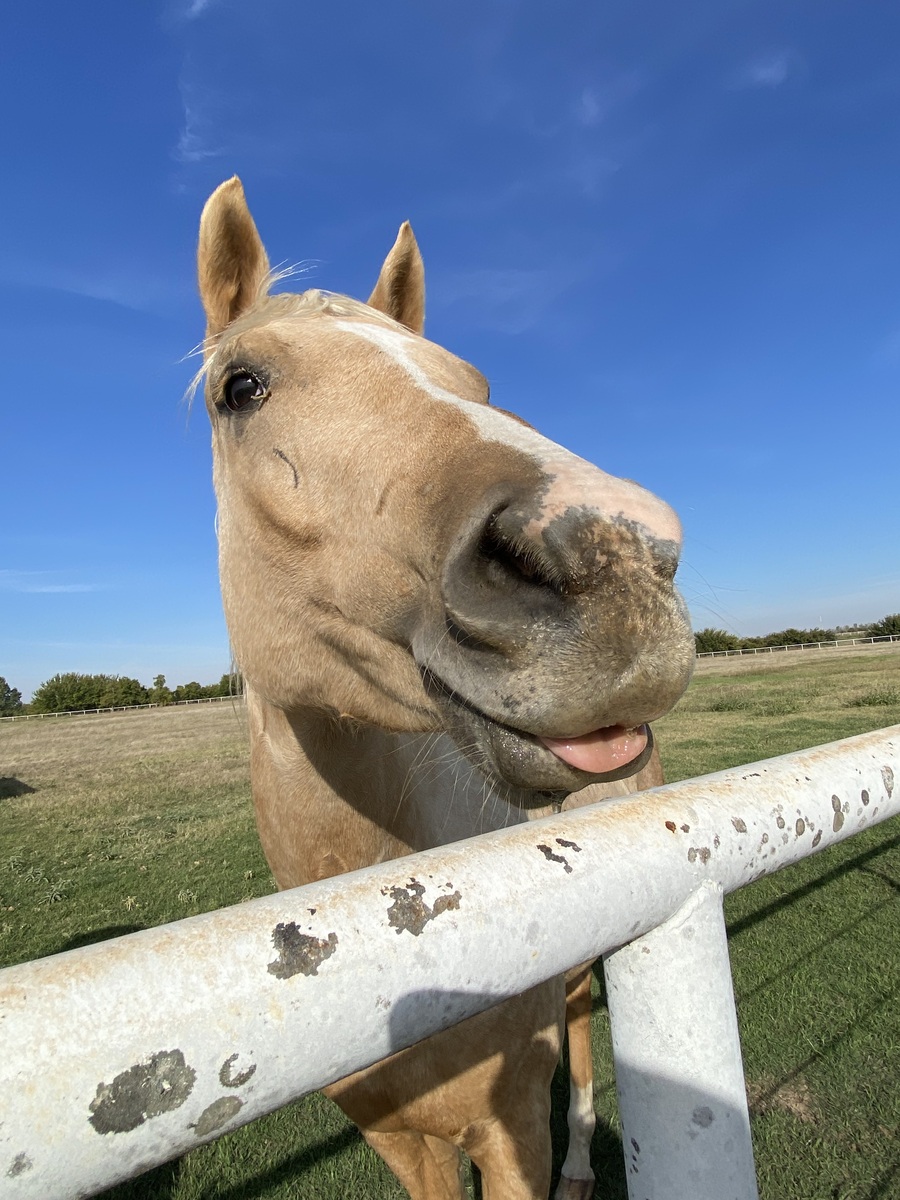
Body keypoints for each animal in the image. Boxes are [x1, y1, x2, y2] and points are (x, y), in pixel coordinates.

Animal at [196, 176, 694, 1200]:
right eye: (240, 386)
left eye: (477, 383)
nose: (615, 552)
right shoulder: (399, 1139)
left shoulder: (508, 1125)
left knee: (579, 1021)